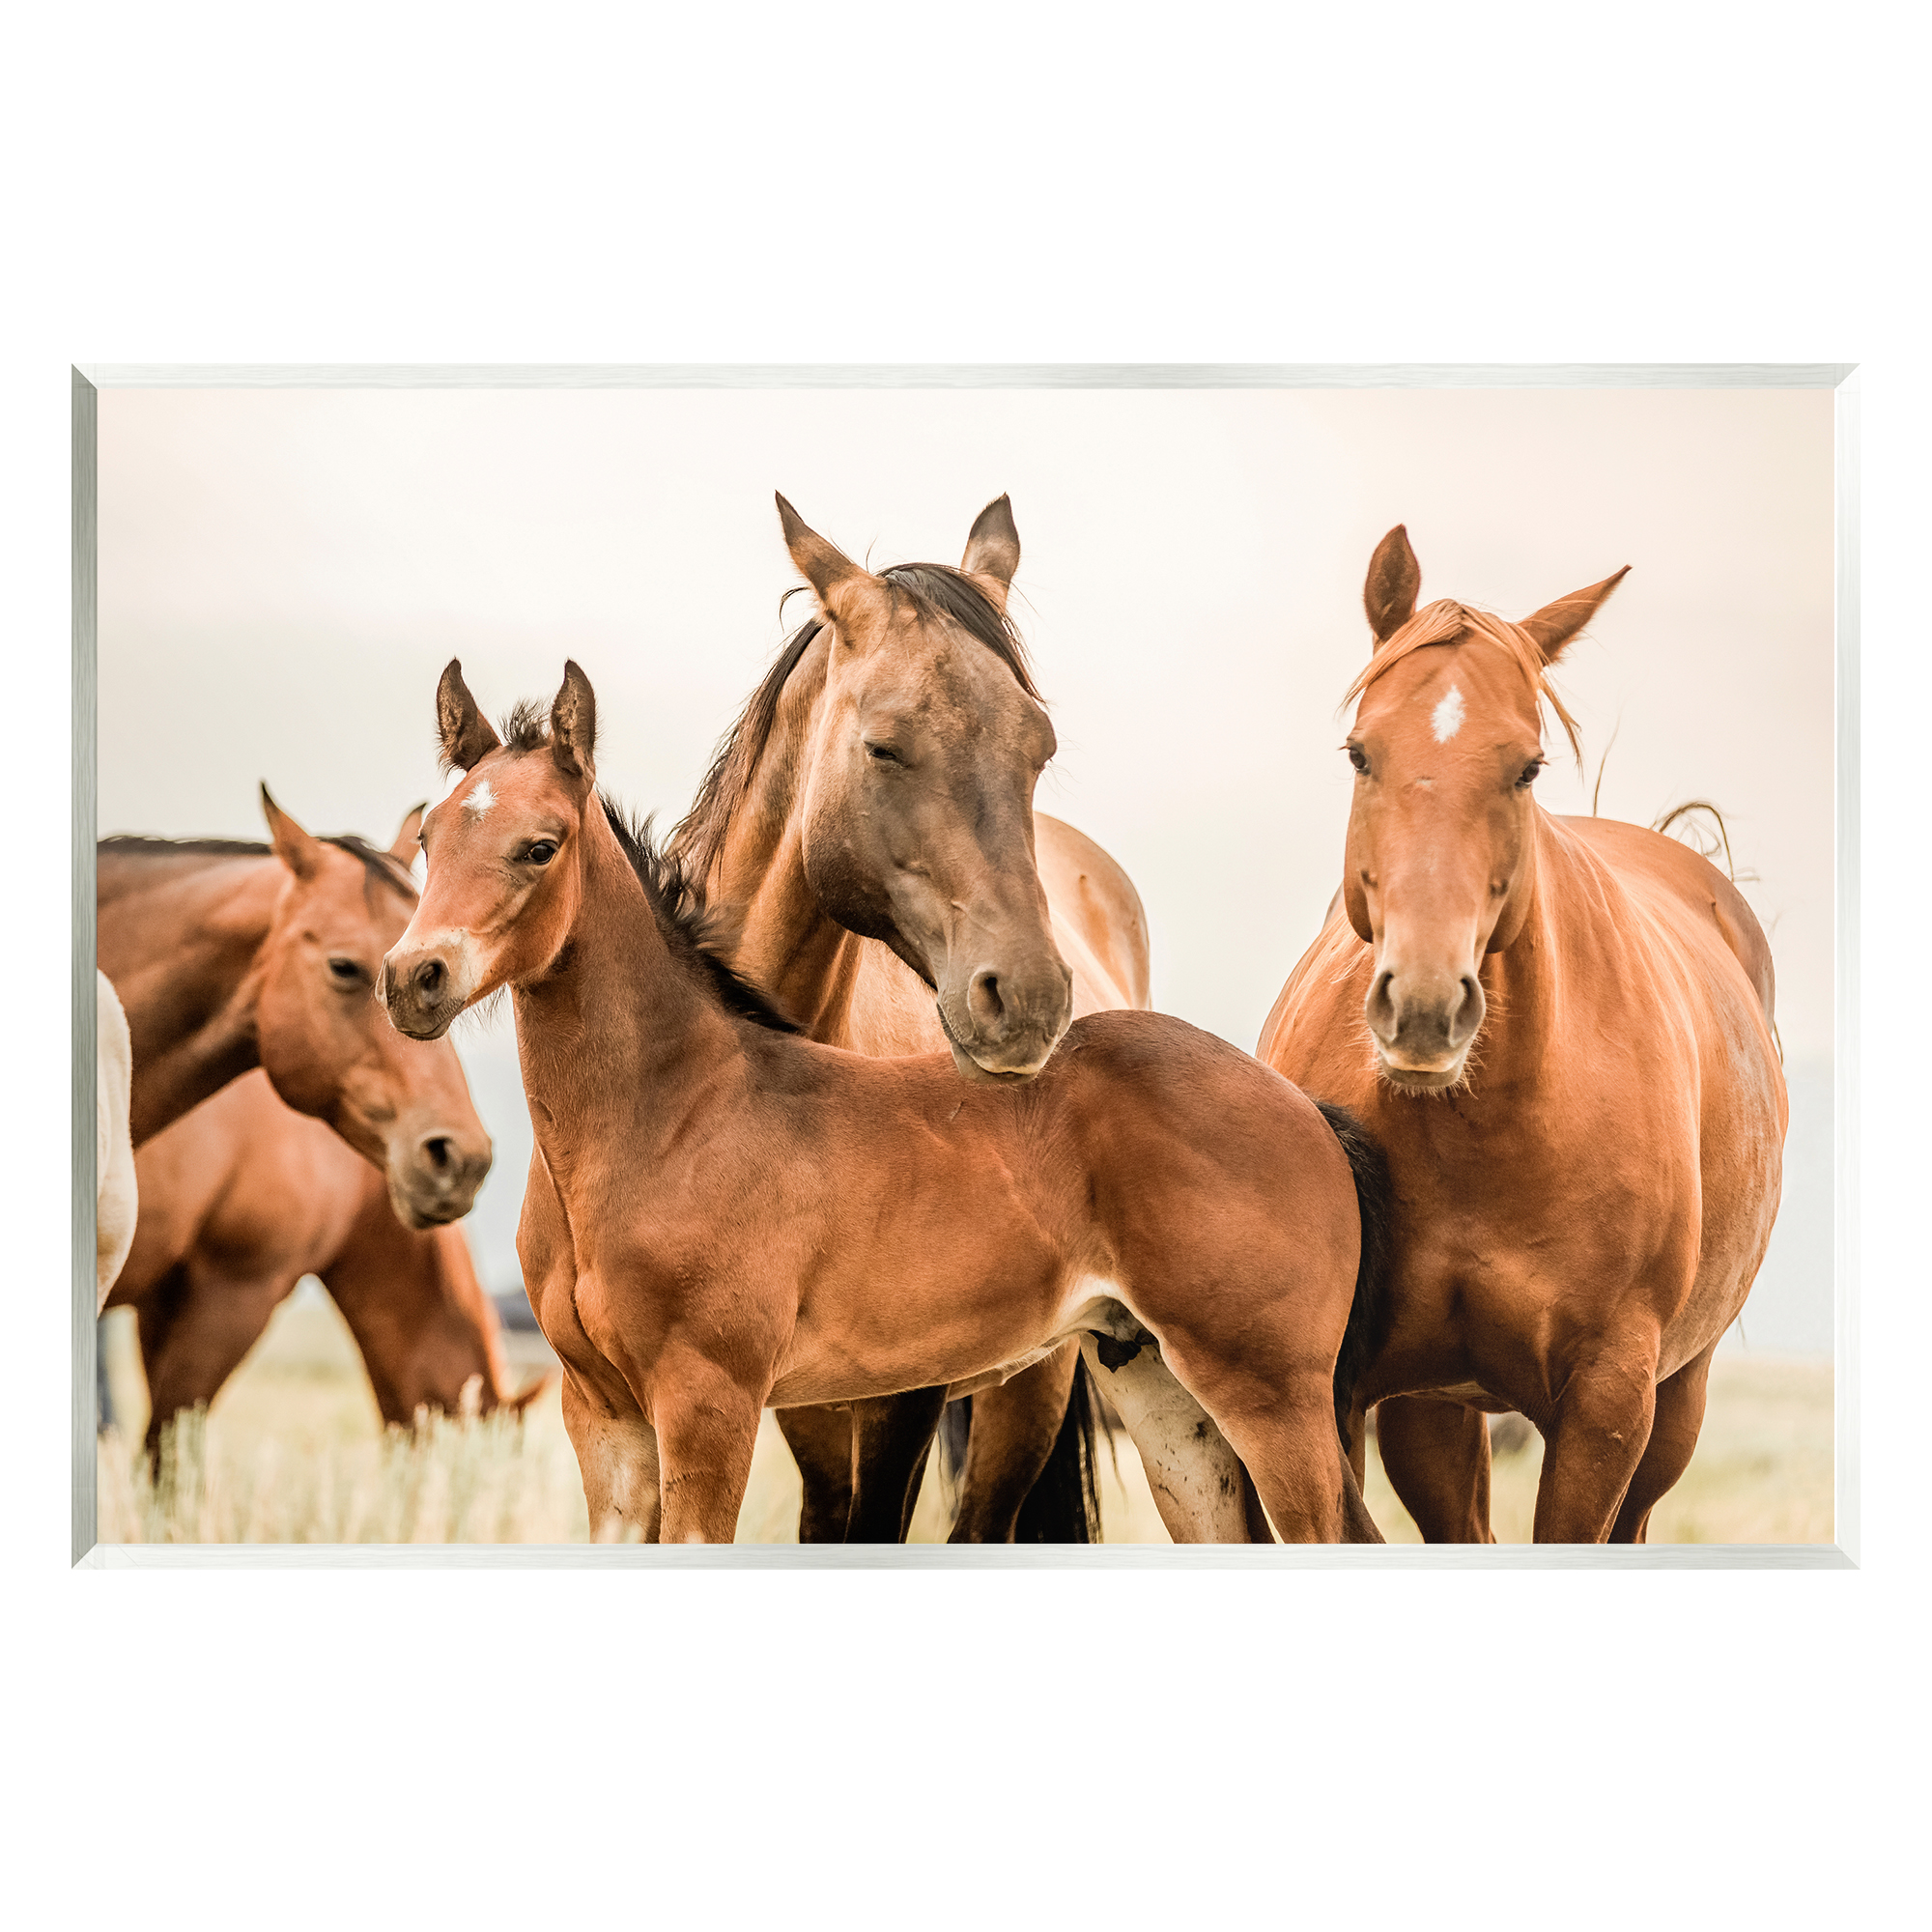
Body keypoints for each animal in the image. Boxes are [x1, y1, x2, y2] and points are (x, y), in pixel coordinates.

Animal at [378, 658, 1390, 1545]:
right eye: (429, 841)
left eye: (539, 847)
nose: (412, 979)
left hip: (1270, 1395)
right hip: (1163, 1393)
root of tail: (1305, 1107)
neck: (667, 1118)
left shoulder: (708, 1403)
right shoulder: (603, 1418)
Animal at [664, 494, 1152, 1542]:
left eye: (1038, 747)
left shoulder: (905, 1402)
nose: (1029, 998)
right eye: (882, 745)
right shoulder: (804, 1410)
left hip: (1028, 1387)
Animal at [1257, 527, 1787, 1542]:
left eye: (1528, 767)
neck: (1484, 1136)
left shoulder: (1608, 1408)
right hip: (1435, 1413)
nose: (1425, 1007)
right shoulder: (1342, 1394)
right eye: (1360, 754)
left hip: (1675, 1405)